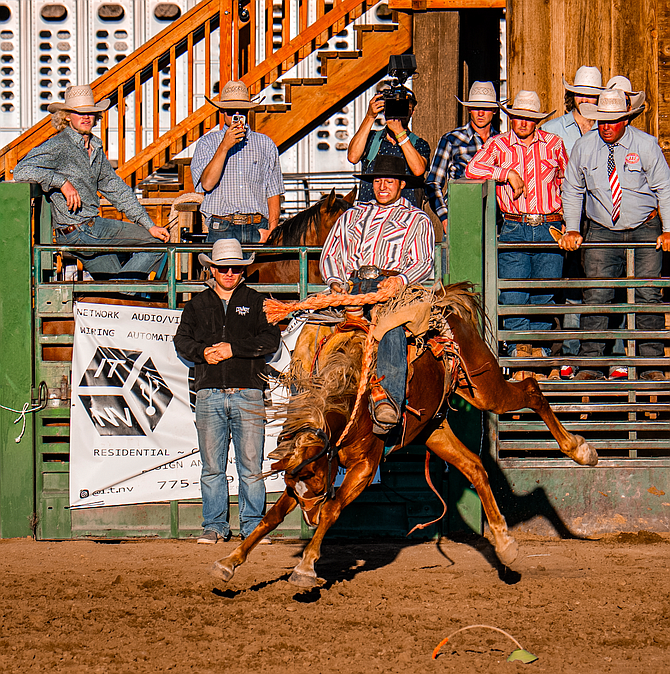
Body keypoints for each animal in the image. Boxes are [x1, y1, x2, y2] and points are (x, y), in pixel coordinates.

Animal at [211, 278, 600, 584]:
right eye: (297, 487)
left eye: (319, 484)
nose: (309, 517)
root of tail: (442, 303)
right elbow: (272, 516)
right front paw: (230, 561)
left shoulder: (365, 467)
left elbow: (334, 507)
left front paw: (306, 566)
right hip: (432, 428)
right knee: (475, 467)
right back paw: (505, 546)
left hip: (484, 384)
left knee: (531, 388)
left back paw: (581, 451)